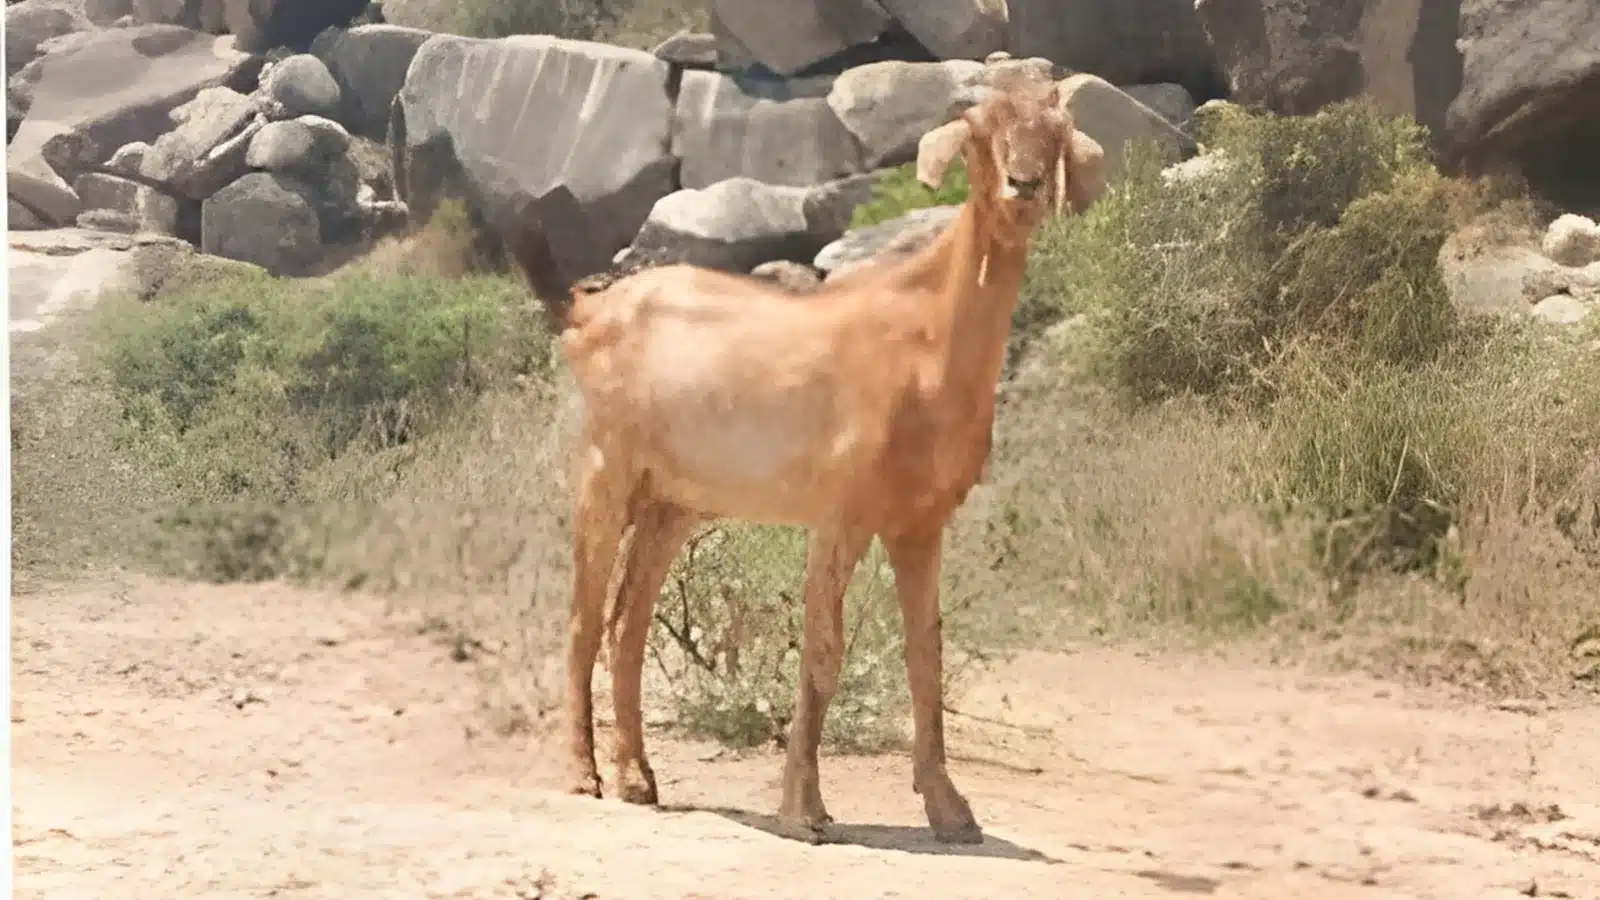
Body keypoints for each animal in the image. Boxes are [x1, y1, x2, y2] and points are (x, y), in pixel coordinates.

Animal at [504, 78, 1105, 844]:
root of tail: (587, 312)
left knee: (627, 625)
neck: (927, 342)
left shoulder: (919, 524)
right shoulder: (841, 516)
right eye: (978, 129)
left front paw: (949, 808)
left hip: (672, 504)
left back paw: (639, 777)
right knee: (584, 620)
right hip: (605, 473)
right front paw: (805, 806)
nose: (1022, 186)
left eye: (1054, 132)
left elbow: (926, 654)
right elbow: (823, 648)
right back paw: (585, 773)